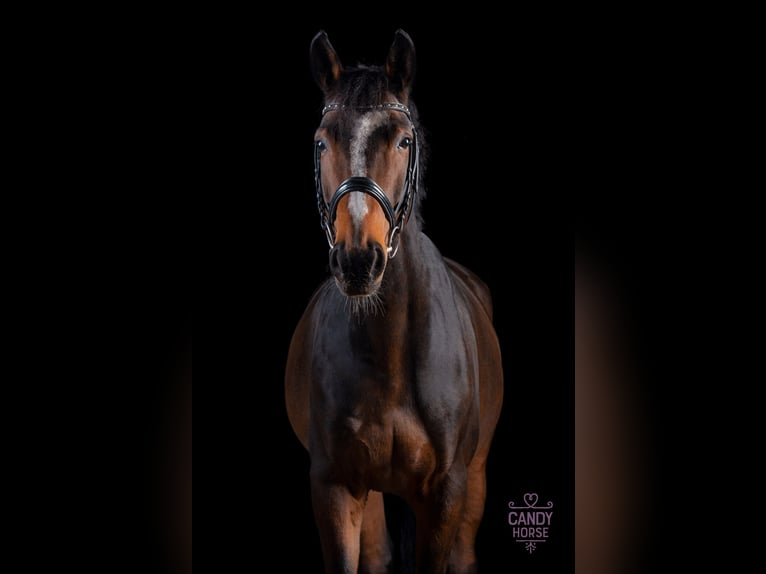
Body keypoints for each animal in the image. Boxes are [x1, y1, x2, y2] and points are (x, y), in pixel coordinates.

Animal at [285, 29, 504, 574]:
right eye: (321, 141)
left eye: (403, 139)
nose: (358, 261)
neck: (389, 353)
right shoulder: (335, 486)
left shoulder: (445, 493)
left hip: (477, 476)